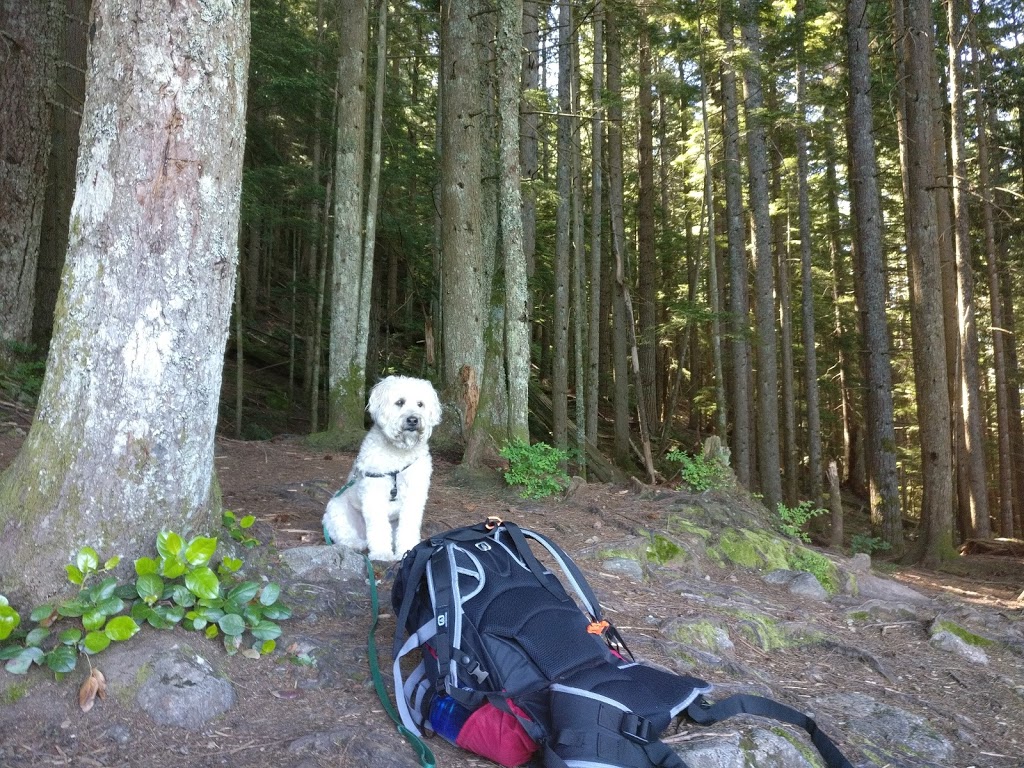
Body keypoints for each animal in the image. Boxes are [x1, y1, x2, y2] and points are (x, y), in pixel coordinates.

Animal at [325, 376, 442, 561]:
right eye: (400, 402)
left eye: (420, 404)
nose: (413, 420)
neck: (398, 455)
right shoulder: (374, 493)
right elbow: (379, 527)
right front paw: (382, 554)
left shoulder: (415, 494)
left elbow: (409, 525)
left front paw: (406, 551)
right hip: (337, 507)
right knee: (344, 535)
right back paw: (355, 543)